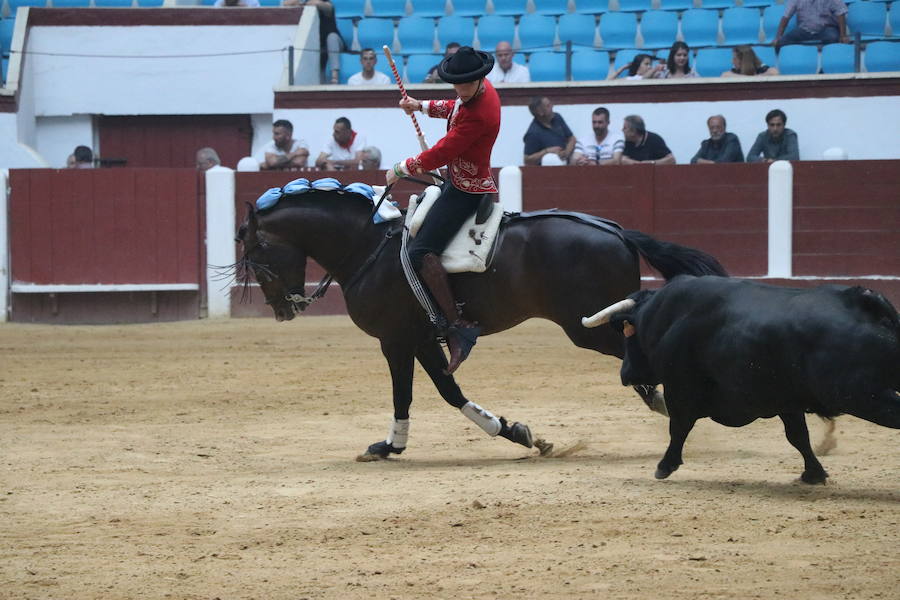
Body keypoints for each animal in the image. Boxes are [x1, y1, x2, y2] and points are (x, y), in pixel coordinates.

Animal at [234, 189, 724, 460]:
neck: (368, 245)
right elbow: (450, 392)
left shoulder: (395, 340)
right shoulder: (422, 339)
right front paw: (516, 432)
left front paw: (389, 446)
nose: (281, 308)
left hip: (586, 328)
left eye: (255, 252)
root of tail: (619, 232)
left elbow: (406, 393)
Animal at [584, 276, 900, 482]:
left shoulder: (680, 389)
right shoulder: (786, 400)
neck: (666, 317)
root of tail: (861, 301)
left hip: (864, 395)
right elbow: (798, 436)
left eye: (628, 337)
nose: (625, 374)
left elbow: (679, 428)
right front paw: (814, 474)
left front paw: (665, 466)